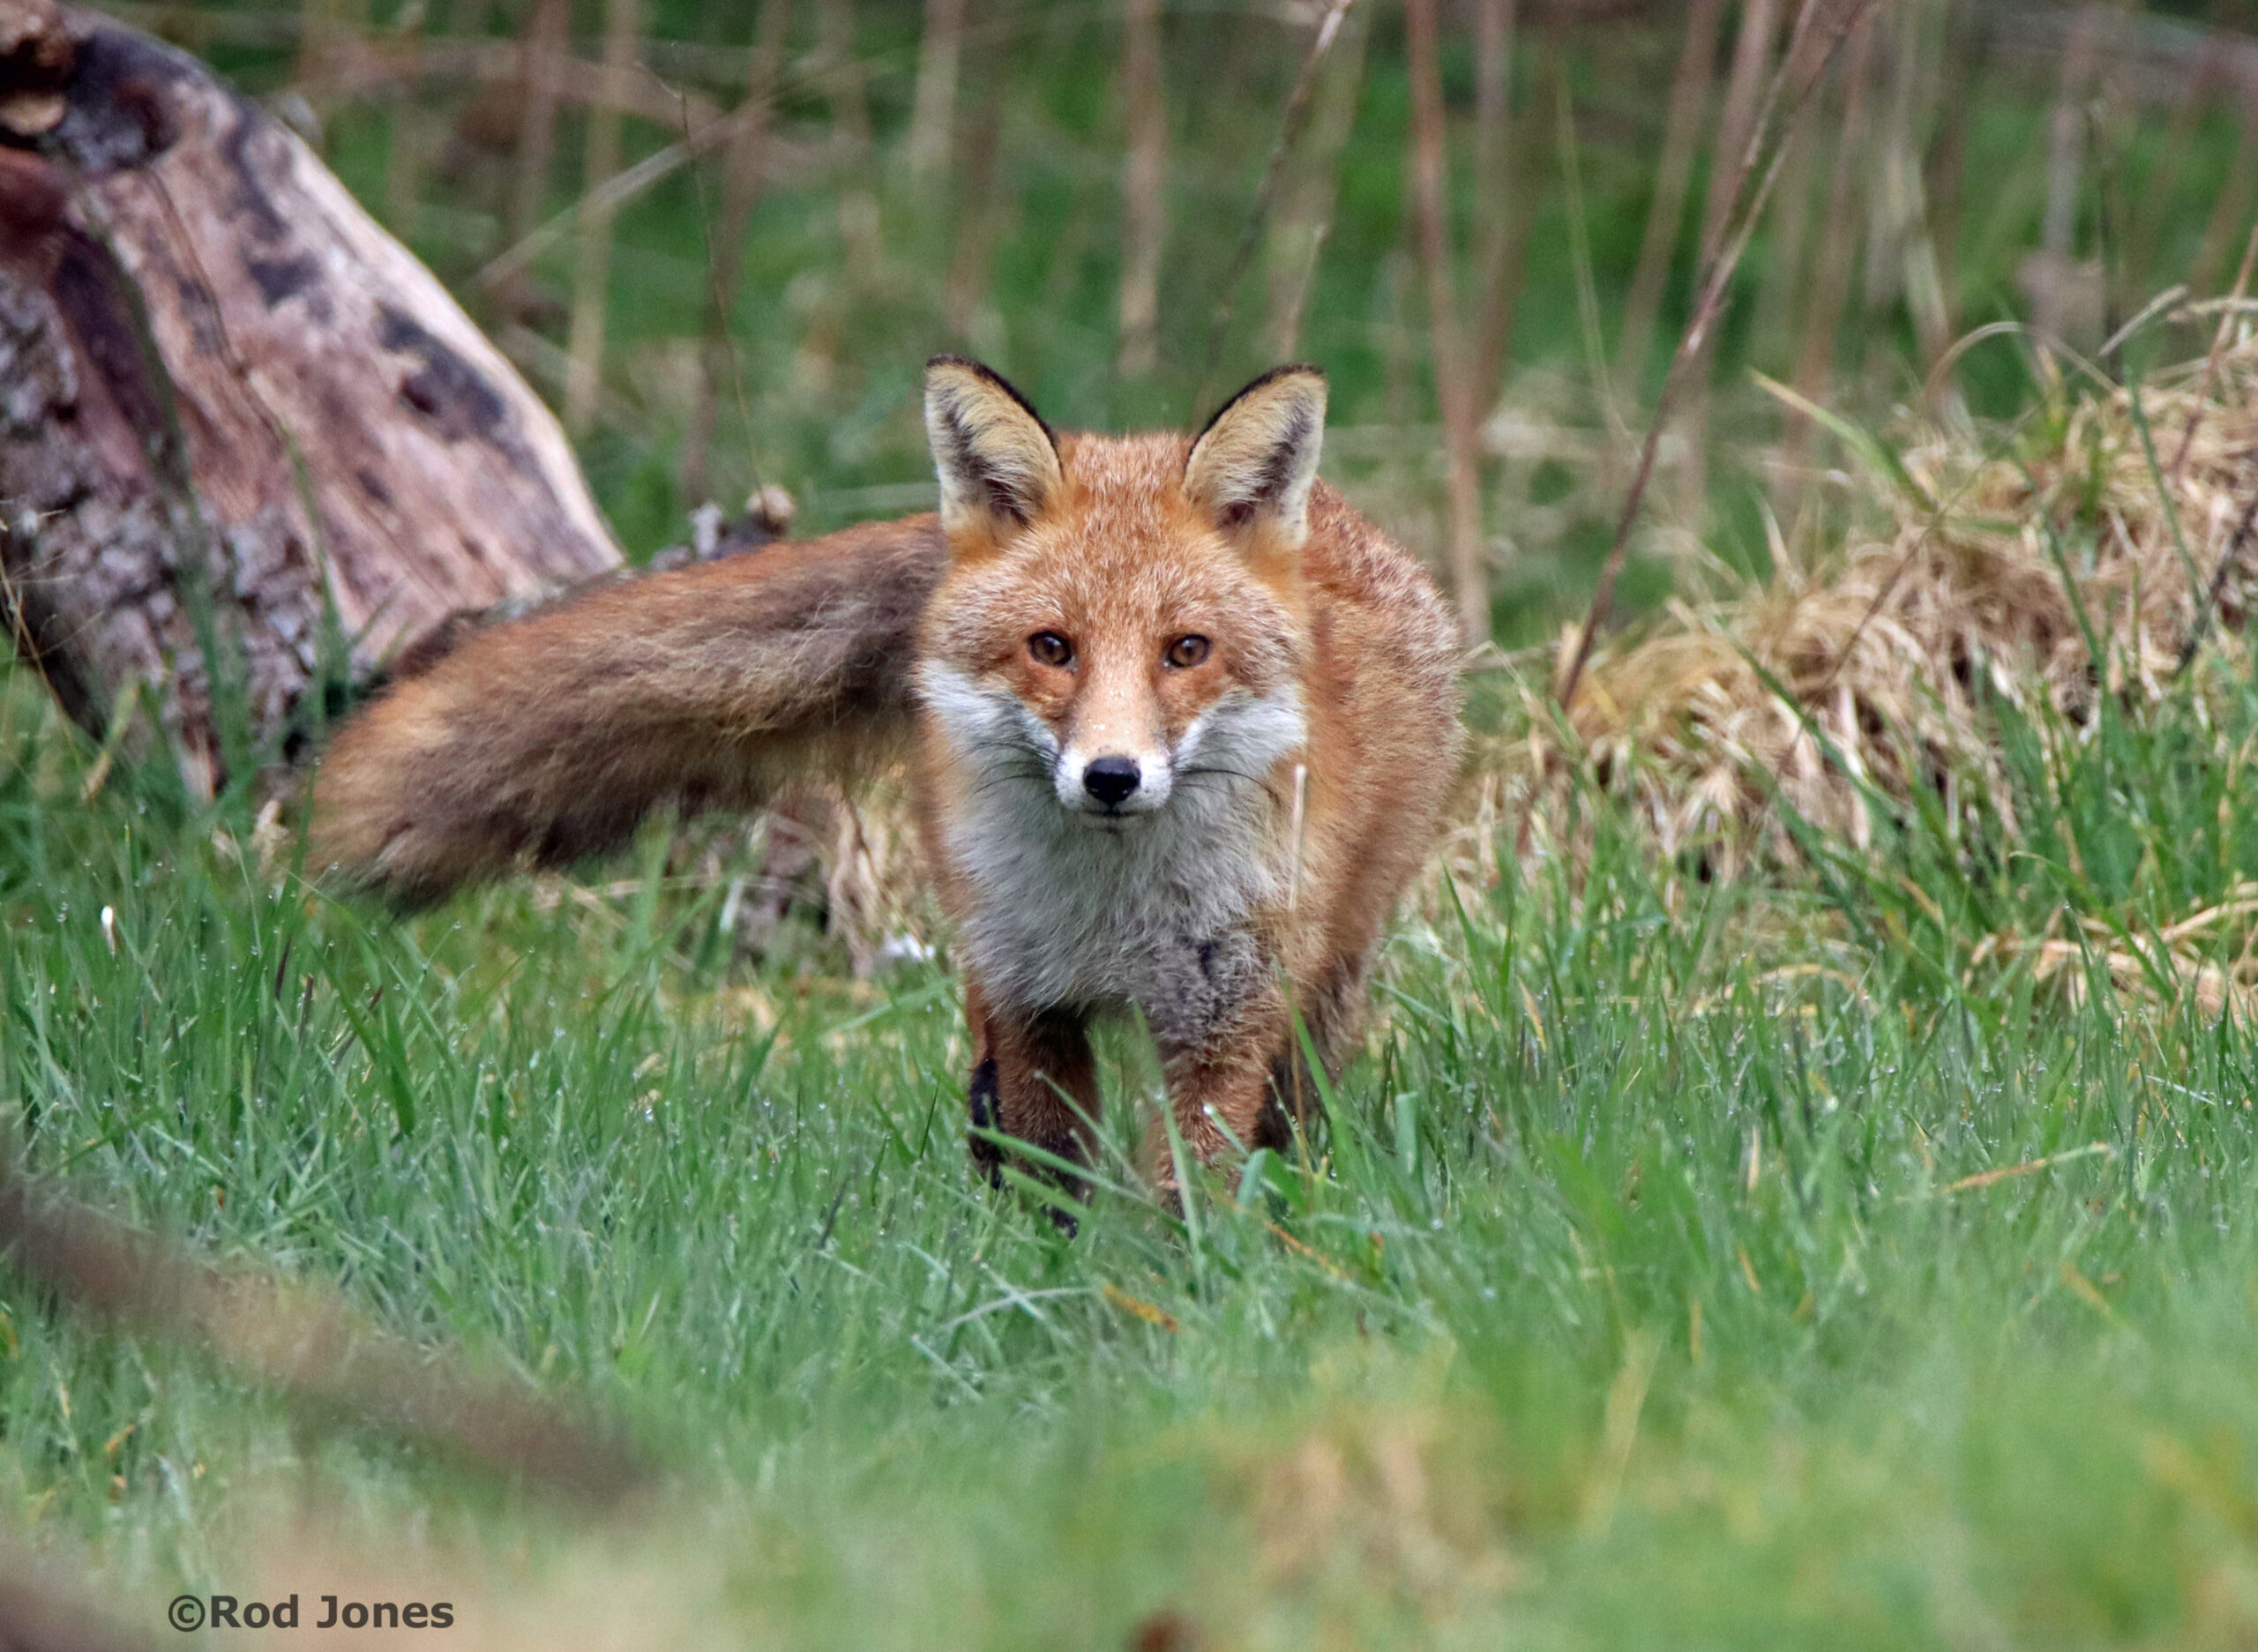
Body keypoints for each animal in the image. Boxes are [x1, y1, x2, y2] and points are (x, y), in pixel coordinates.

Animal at [313, 352, 1462, 1200]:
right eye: (1052, 648)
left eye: (1187, 651)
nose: (1111, 776)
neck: (1113, 909)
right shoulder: (1032, 998)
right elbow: (1050, 1176)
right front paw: (1039, 1289)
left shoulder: (1223, 1019)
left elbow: (1194, 1186)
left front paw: (1167, 1303)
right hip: (985, 949)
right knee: (986, 1076)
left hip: (1329, 983)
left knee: (1297, 1103)